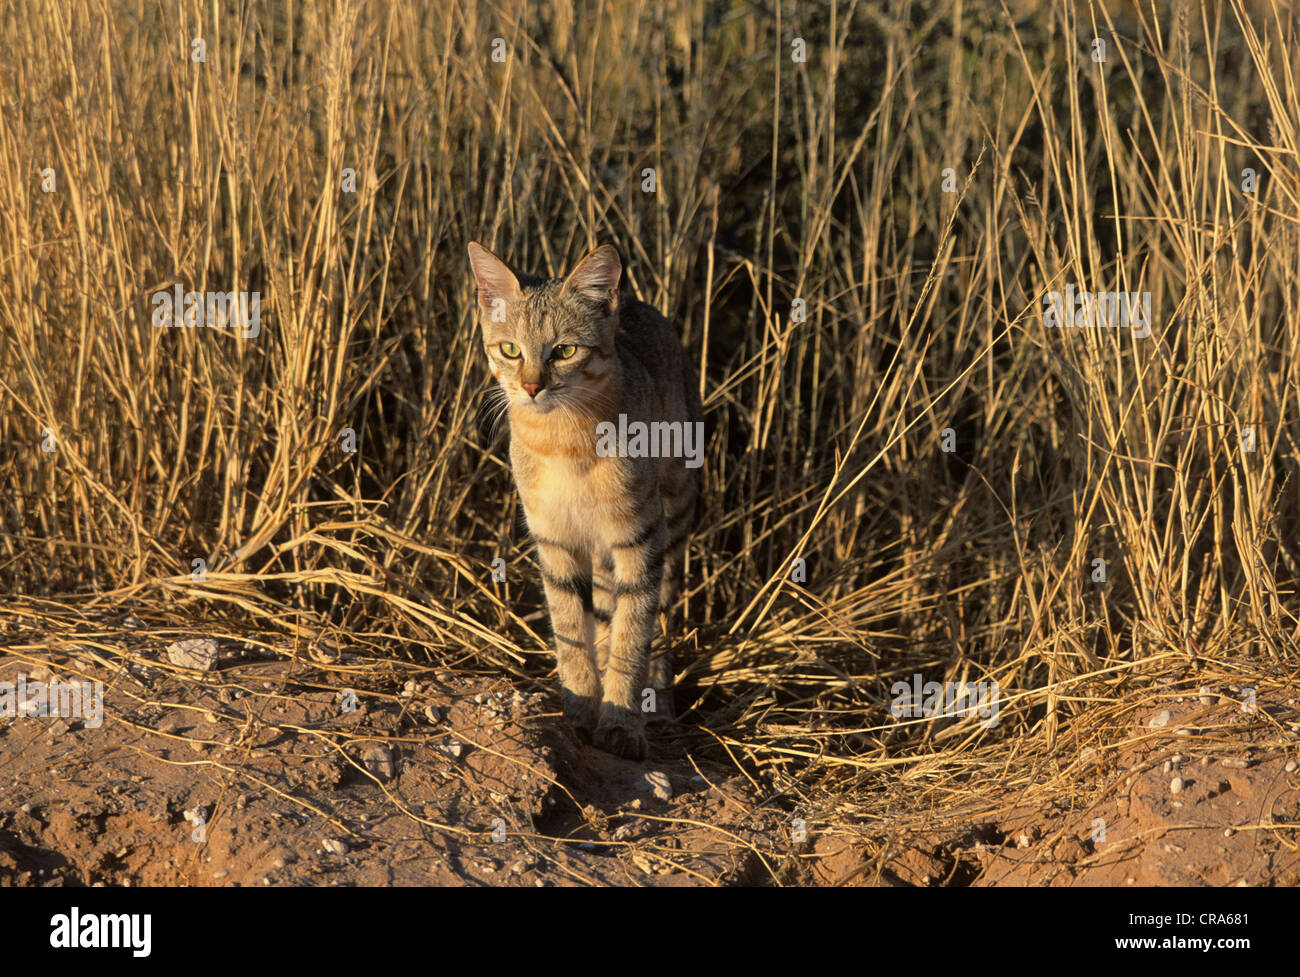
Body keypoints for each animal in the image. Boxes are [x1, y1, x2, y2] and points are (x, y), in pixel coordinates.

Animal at [470, 240, 702, 758]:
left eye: (564, 350)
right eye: (510, 350)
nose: (531, 386)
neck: (564, 445)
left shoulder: (640, 535)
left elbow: (633, 635)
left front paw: (621, 721)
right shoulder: (554, 539)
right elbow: (571, 631)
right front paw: (579, 710)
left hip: (675, 509)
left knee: (660, 614)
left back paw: (658, 700)